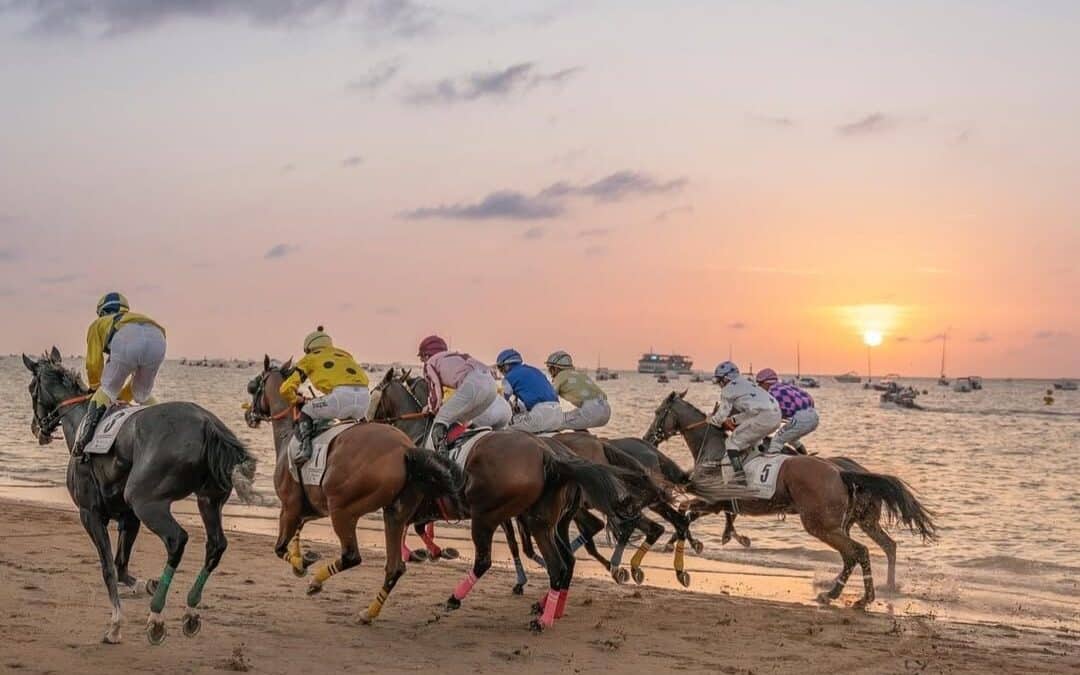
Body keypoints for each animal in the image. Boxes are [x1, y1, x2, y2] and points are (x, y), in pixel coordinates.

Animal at [22, 347, 258, 643]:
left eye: (32, 388)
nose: (36, 428)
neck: (80, 422)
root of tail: (208, 424)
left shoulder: (90, 514)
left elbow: (108, 568)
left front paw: (115, 624)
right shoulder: (128, 516)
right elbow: (121, 565)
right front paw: (146, 584)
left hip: (146, 501)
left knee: (177, 539)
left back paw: (156, 617)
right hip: (209, 500)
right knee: (216, 545)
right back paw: (191, 611)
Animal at [245, 356, 464, 622]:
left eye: (254, 386)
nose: (249, 415)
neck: (289, 433)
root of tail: (405, 450)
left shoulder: (289, 508)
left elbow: (279, 548)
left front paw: (301, 565)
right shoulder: (309, 509)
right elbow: (295, 535)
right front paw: (303, 557)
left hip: (342, 510)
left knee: (352, 555)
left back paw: (317, 582)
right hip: (394, 513)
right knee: (394, 567)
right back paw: (369, 613)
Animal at [369, 365, 656, 630]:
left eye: (373, 394)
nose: (365, 419)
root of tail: (551, 456)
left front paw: (429, 552)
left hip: (499, 518)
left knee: (524, 562)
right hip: (552, 521)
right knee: (569, 558)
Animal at [639, 388, 937, 604]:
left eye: (658, 412)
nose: (647, 438)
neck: (715, 449)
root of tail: (842, 472)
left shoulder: (712, 501)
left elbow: (688, 512)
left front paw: (693, 542)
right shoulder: (721, 502)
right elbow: (702, 513)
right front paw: (721, 537)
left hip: (820, 524)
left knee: (857, 552)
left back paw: (846, 595)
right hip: (854, 522)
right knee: (881, 548)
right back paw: (865, 592)